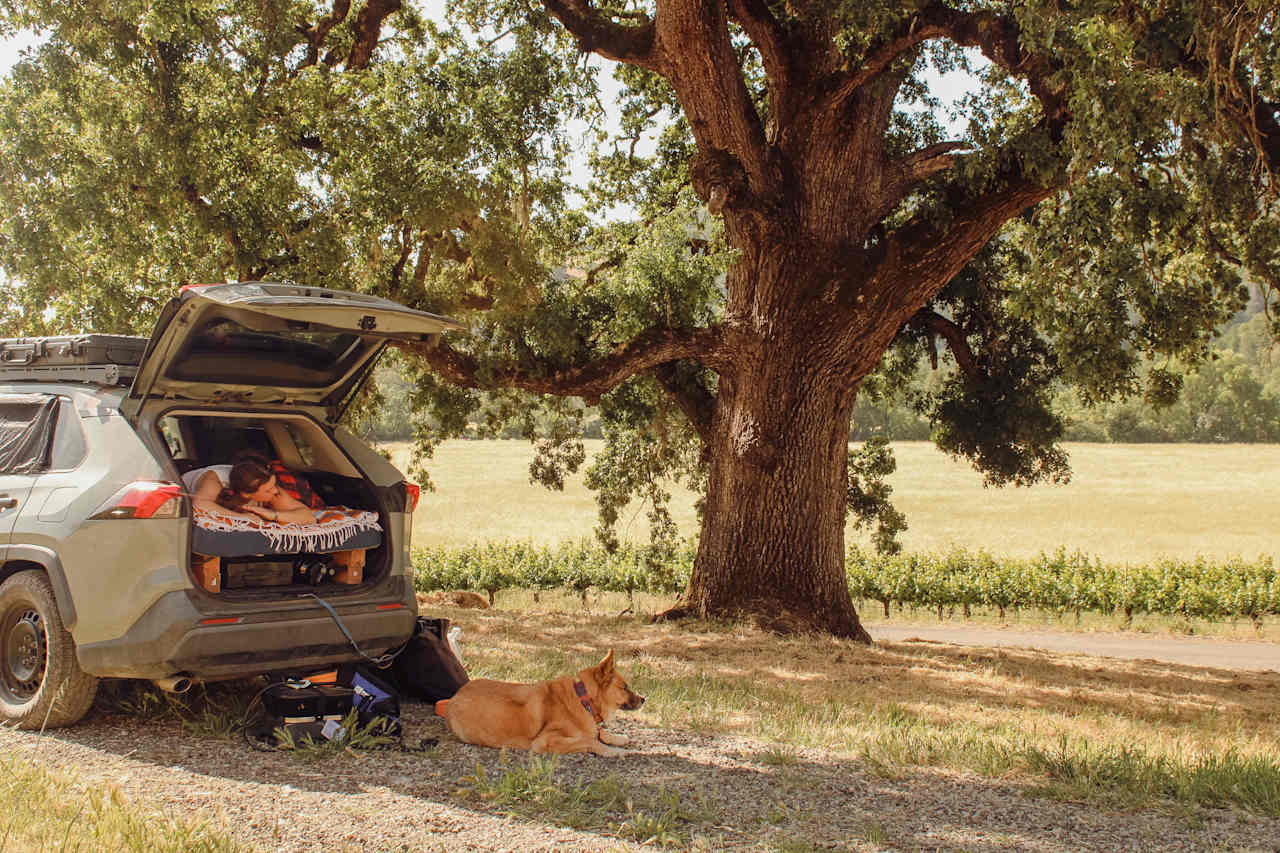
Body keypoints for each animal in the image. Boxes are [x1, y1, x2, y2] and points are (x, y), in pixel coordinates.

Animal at [435, 648, 645, 753]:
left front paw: (618, 738)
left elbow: (599, 733)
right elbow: (590, 741)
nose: (644, 699)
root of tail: (456, 694)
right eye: (625, 687)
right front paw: (615, 751)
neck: (583, 700)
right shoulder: (546, 742)